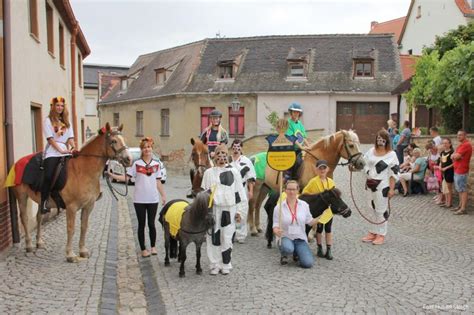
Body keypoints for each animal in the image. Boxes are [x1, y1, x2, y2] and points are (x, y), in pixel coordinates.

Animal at [8, 124, 131, 262]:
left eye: (123, 139)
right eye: (114, 141)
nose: (128, 159)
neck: (83, 171)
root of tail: (18, 162)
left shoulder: (89, 206)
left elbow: (84, 227)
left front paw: (82, 251)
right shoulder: (71, 207)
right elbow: (71, 229)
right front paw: (70, 254)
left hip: (40, 199)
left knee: (39, 217)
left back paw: (39, 242)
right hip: (22, 197)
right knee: (24, 218)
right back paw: (29, 245)